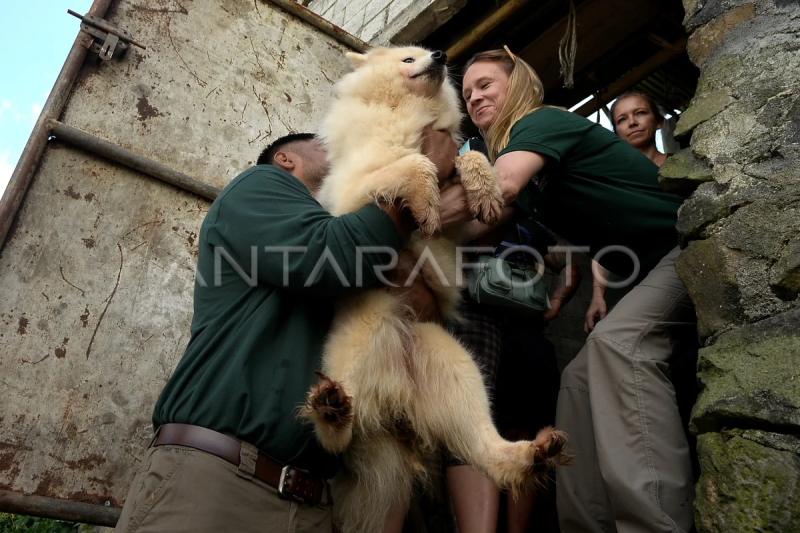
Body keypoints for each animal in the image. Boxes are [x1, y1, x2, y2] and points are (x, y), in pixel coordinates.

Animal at [300, 47, 568, 528]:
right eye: (409, 58)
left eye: (427, 52)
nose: (441, 55)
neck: (411, 112)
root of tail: (399, 398)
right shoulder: (350, 200)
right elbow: (414, 163)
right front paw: (424, 199)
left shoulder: (458, 229)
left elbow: (470, 160)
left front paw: (485, 190)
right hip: (360, 348)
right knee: (336, 439)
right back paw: (330, 411)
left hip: (458, 368)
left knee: (483, 445)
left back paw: (533, 454)